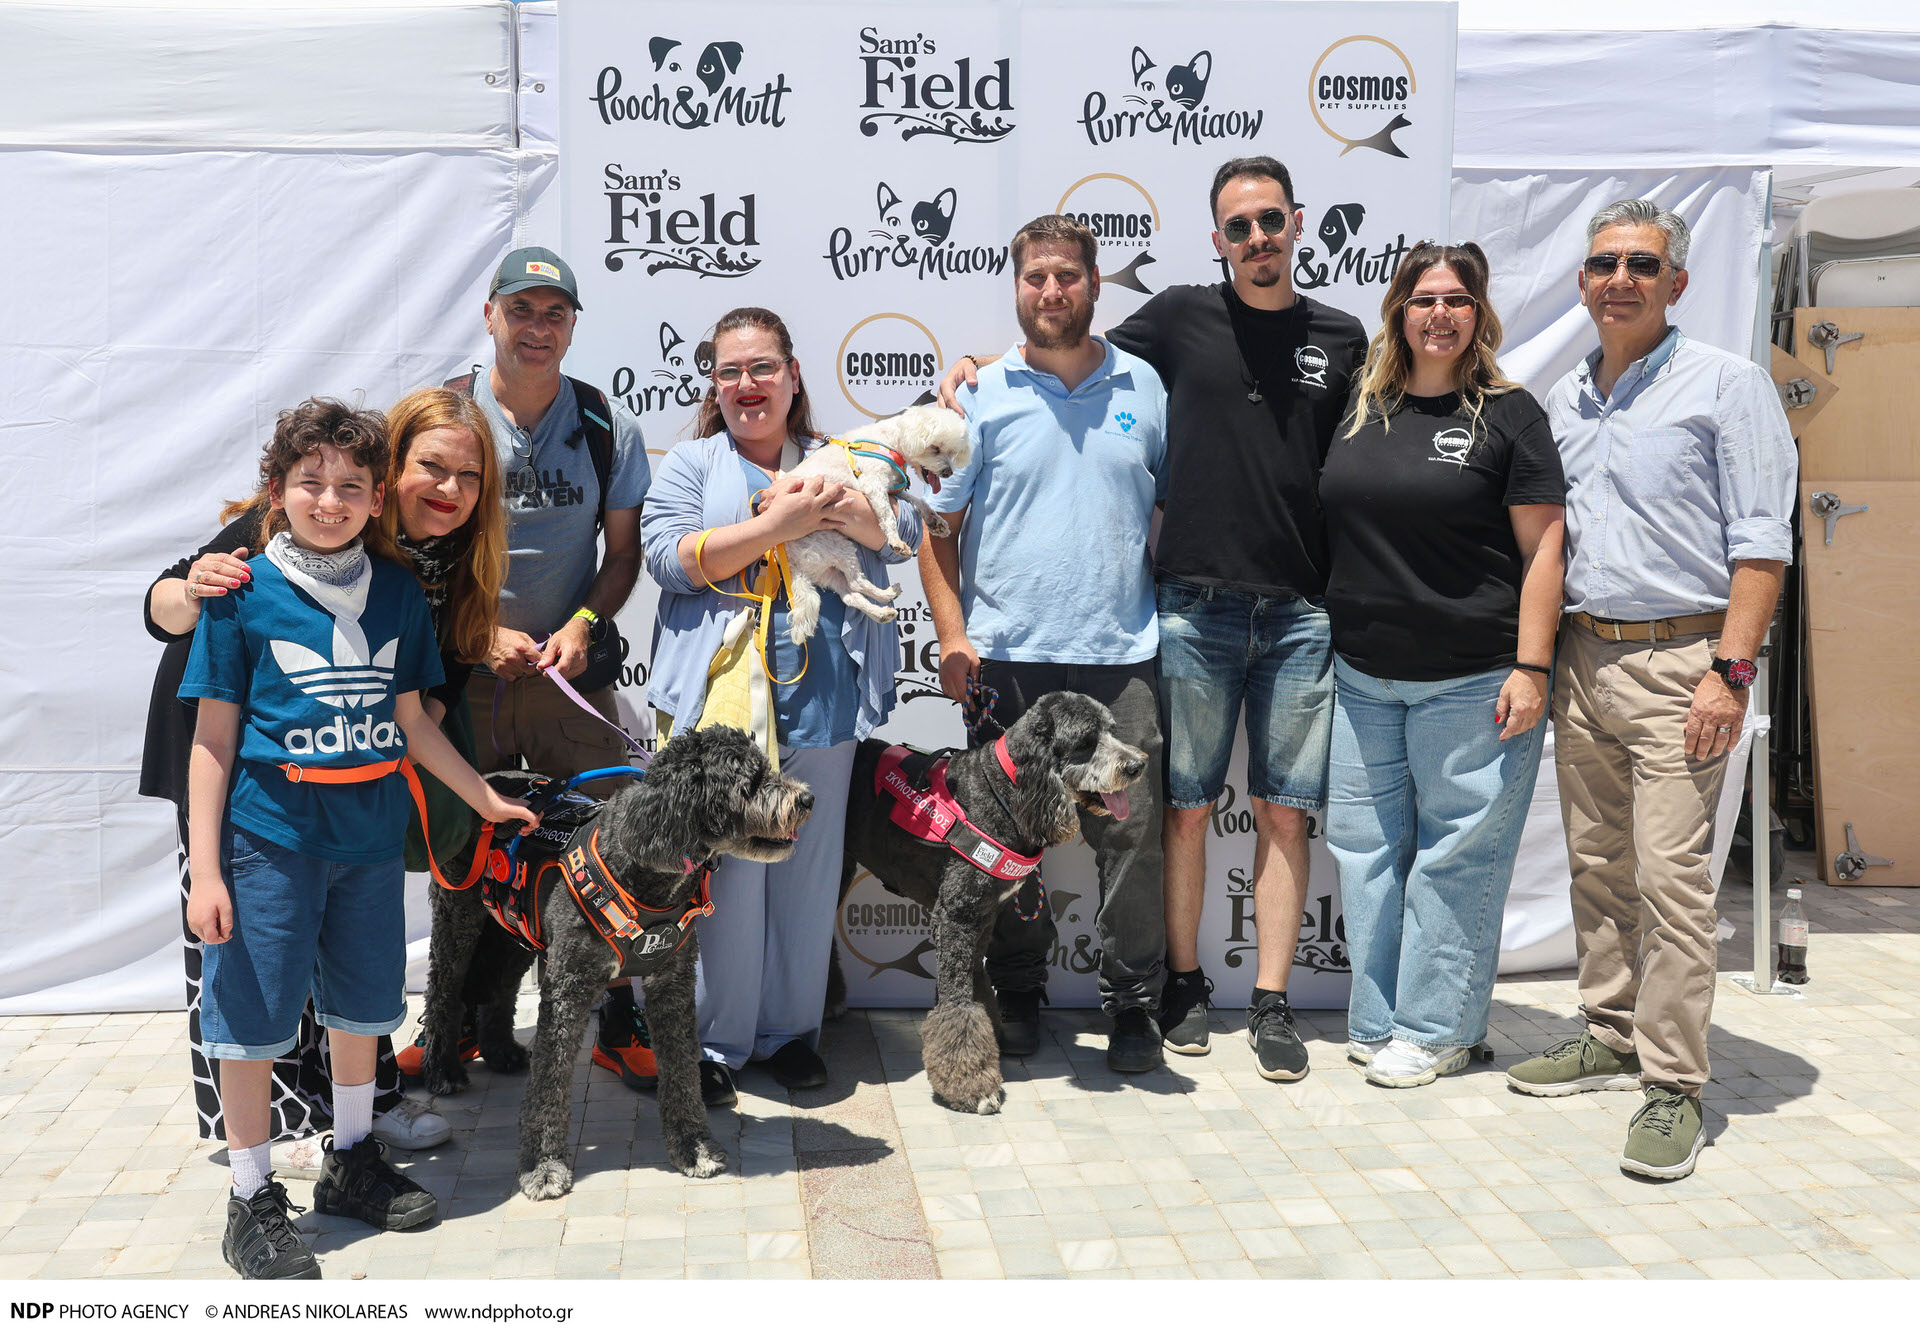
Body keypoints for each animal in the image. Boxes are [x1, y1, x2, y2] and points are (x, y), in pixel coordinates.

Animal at [420, 722, 810, 1198]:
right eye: (749, 782)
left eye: (767, 769)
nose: (807, 799)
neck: (643, 864)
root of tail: (488, 778)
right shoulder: (567, 989)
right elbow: (551, 1081)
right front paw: (543, 1166)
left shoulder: (672, 984)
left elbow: (682, 1070)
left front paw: (693, 1147)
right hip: (458, 912)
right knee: (444, 987)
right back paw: (442, 1068)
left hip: (519, 926)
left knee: (501, 985)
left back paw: (500, 1052)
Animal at [779, 401, 967, 641]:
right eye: (935, 448)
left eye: (952, 452)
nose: (948, 472)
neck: (890, 441)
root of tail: (789, 560)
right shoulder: (873, 483)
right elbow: (888, 517)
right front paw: (896, 542)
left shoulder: (892, 489)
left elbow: (919, 501)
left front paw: (935, 521)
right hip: (834, 543)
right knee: (856, 582)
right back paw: (886, 595)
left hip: (825, 570)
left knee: (850, 595)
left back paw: (883, 605)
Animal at [837, 695, 1136, 1113]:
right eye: (1086, 741)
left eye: (1111, 730)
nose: (1137, 765)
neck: (1004, 791)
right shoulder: (956, 914)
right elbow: (958, 1001)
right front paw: (971, 1084)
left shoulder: (984, 913)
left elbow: (976, 984)